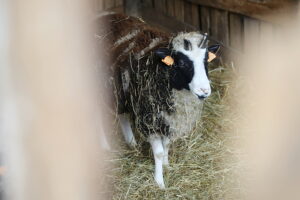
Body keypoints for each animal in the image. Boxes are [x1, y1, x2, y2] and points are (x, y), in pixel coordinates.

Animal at [95, 13, 219, 188]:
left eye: (206, 60)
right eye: (182, 63)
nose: (204, 91)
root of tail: (103, 15)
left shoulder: (168, 118)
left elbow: (166, 145)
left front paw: (167, 166)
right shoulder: (150, 118)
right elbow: (159, 152)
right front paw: (159, 182)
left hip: (121, 90)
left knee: (122, 114)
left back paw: (131, 143)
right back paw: (104, 146)